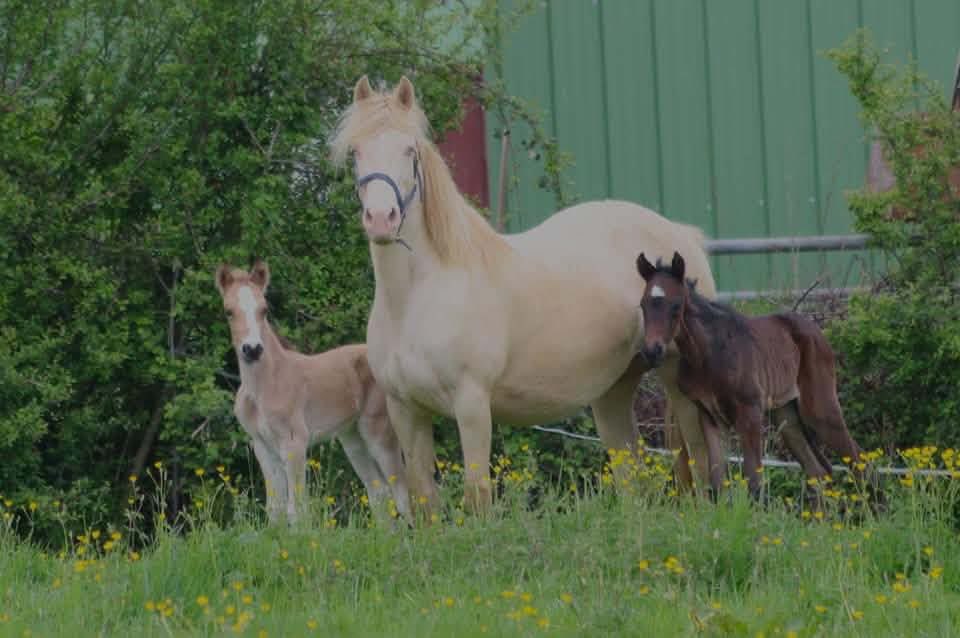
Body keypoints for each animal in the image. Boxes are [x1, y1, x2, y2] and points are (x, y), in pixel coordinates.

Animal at [215, 260, 411, 524]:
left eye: (264, 310)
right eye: (229, 311)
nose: (252, 349)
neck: (265, 386)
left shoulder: (294, 443)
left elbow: (297, 508)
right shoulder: (262, 447)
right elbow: (275, 509)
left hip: (378, 431)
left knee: (403, 493)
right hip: (352, 438)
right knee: (379, 492)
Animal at [328, 74, 720, 513]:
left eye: (409, 149)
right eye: (356, 151)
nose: (381, 219)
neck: (416, 299)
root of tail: (681, 237)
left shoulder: (472, 405)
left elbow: (477, 495)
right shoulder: (405, 410)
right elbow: (424, 499)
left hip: (677, 380)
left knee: (700, 458)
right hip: (614, 389)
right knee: (632, 477)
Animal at [636, 251, 864, 499]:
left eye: (676, 305)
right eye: (643, 305)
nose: (652, 351)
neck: (708, 354)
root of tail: (816, 330)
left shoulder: (750, 412)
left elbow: (754, 482)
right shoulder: (709, 416)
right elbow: (717, 483)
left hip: (819, 409)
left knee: (859, 460)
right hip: (787, 415)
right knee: (818, 472)